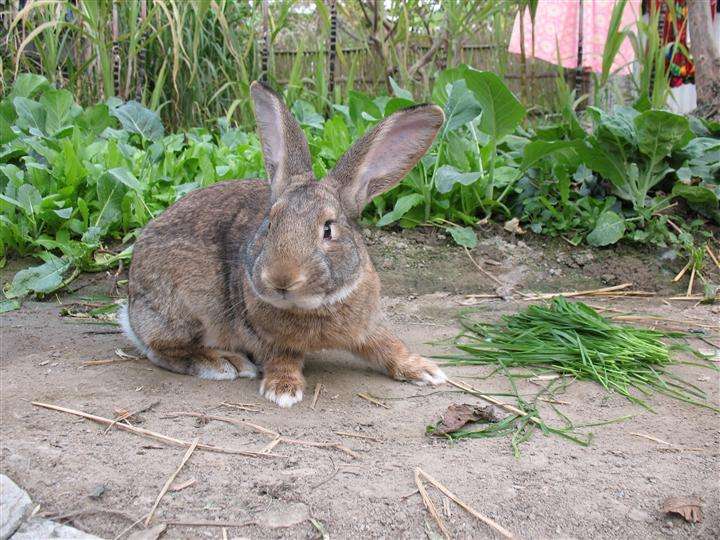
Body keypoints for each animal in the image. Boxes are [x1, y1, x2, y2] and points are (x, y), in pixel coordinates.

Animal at [119, 82, 448, 408]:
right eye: (269, 224)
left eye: (328, 229)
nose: (281, 278)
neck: (313, 306)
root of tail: (132, 312)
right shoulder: (264, 337)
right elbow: (282, 358)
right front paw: (283, 390)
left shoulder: (368, 326)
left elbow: (388, 345)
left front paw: (425, 370)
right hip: (186, 307)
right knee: (162, 349)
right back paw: (223, 363)